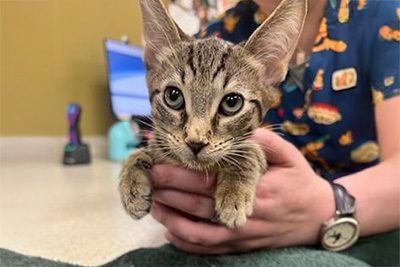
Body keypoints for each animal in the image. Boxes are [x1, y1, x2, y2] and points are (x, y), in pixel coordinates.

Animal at [119, 0, 306, 229]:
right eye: (173, 96)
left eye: (232, 102)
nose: (195, 142)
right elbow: (145, 150)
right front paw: (131, 178)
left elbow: (251, 150)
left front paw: (234, 193)